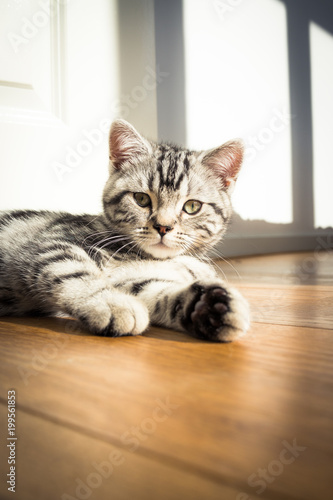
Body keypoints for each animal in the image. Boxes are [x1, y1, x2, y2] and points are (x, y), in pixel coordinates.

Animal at [0, 119, 249, 342]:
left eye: (192, 206)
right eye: (141, 199)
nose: (163, 226)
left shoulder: (135, 280)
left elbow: (157, 292)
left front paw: (208, 306)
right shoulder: (51, 242)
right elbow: (74, 270)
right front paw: (110, 303)